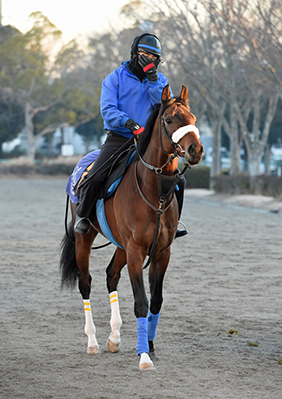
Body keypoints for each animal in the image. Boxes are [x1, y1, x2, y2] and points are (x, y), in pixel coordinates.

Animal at [60, 85, 204, 372]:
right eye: (169, 119)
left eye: (192, 117)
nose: (196, 149)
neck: (154, 189)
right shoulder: (137, 251)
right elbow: (141, 302)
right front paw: (144, 356)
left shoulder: (161, 252)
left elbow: (156, 302)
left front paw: (149, 346)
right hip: (85, 241)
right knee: (86, 283)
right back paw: (92, 342)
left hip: (121, 246)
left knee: (111, 275)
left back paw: (114, 338)